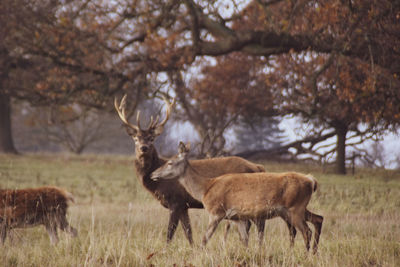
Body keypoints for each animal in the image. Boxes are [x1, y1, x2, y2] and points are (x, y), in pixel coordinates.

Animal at [114, 94, 266, 245]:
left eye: (151, 138)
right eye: (136, 138)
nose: (143, 148)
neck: (158, 185)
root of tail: (258, 167)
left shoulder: (176, 201)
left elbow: (170, 233)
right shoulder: (183, 206)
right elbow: (188, 233)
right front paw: (193, 248)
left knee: (255, 224)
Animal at [152, 142, 324, 253]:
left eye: (170, 162)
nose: (153, 174)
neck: (205, 188)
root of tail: (311, 180)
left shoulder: (216, 211)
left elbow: (205, 238)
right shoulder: (237, 217)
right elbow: (245, 241)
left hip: (295, 208)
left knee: (306, 231)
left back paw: (306, 255)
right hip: (297, 209)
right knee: (318, 219)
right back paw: (314, 253)